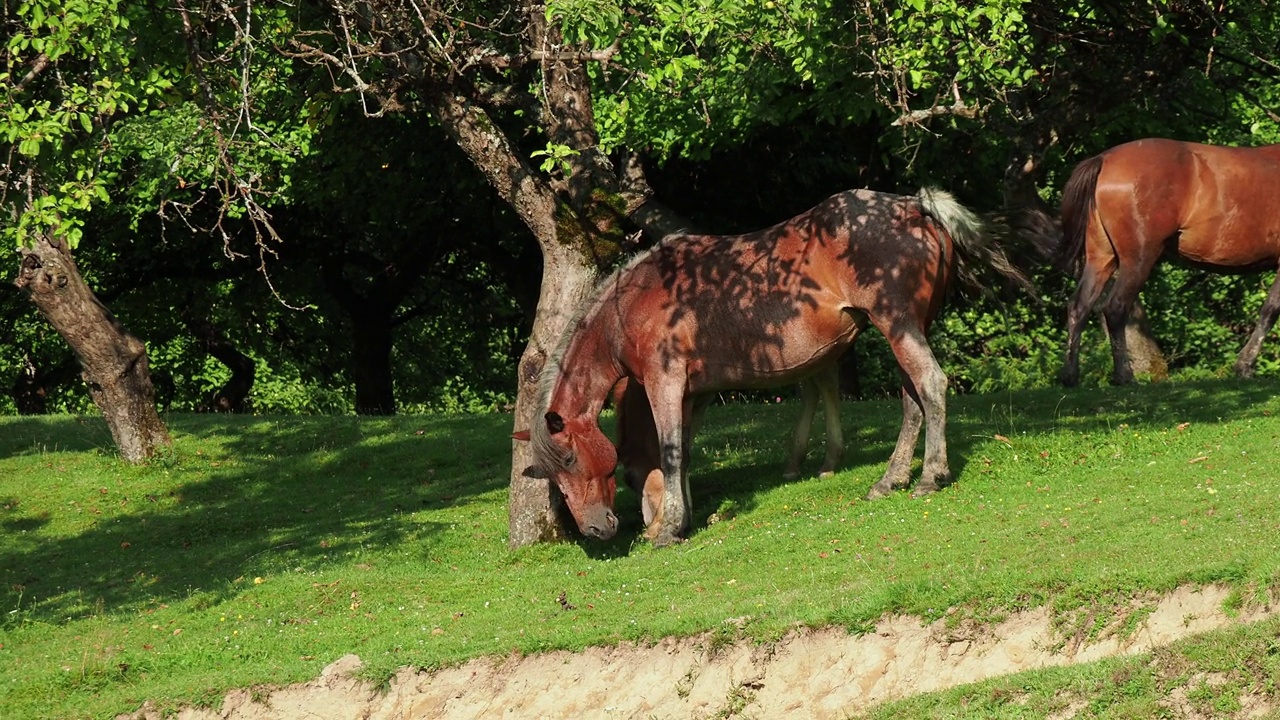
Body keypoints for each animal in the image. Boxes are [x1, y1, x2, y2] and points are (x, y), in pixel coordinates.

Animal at [611, 363, 844, 532]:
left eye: (628, 478)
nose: (649, 522)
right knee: (813, 383)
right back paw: (795, 464)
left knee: (823, 381)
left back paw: (826, 464)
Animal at [1049, 140, 1280, 386]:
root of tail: (1105, 159)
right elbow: (1270, 310)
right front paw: (1244, 366)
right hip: (1138, 259)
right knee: (1115, 308)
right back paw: (1124, 376)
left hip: (1101, 257)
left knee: (1079, 306)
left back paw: (1070, 375)